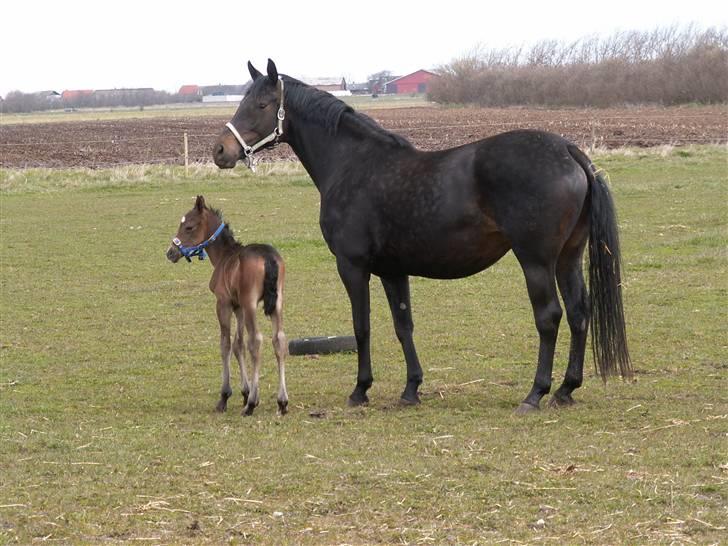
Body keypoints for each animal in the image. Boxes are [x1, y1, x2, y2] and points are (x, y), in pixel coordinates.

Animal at [166, 194, 288, 412]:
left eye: (188, 227)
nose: (170, 253)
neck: (225, 256)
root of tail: (268, 258)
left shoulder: (223, 303)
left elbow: (225, 344)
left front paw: (226, 396)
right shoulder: (237, 306)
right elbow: (238, 344)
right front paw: (244, 392)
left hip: (250, 304)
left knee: (256, 341)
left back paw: (252, 404)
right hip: (277, 303)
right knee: (279, 340)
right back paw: (281, 402)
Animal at [212, 59, 632, 410]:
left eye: (262, 104)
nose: (220, 150)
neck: (353, 164)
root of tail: (568, 149)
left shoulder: (353, 266)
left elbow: (362, 326)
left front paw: (360, 389)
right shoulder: (393, 270)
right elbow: (403, 326)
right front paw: (411, 388)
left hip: (536, 261)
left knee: (549, 316)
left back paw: (536, 393)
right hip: (568, 258)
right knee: (579, 312)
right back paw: (565, 389)